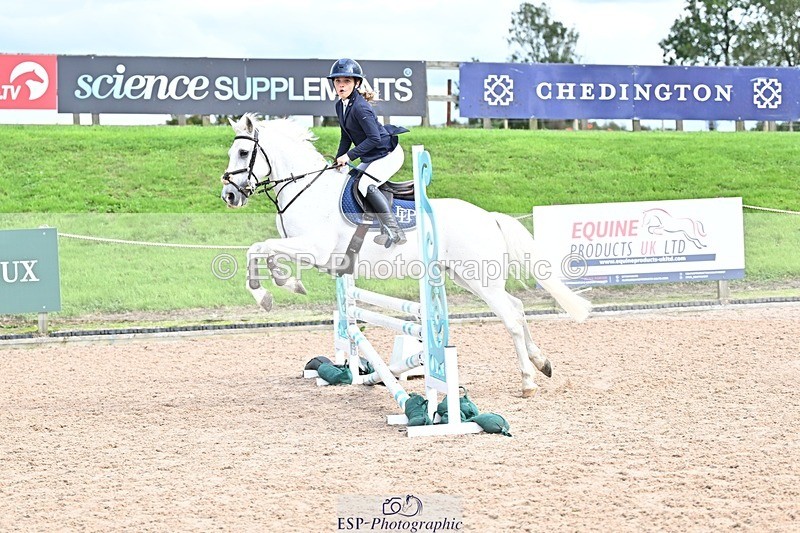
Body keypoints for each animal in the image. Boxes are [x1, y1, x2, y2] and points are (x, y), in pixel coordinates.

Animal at [219, 115, 592, 397]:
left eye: (243, 152)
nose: (229, 196)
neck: (306, 190)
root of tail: (489, 216)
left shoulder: (316, 249)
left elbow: (261, 248)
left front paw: (268, 295)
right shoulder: (316, 255)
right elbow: (264, 251)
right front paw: (286, 284)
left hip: (479, 279)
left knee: (511, 316)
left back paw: (528, 381)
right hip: (467, 276)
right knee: (517, 307)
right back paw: (542, 363)